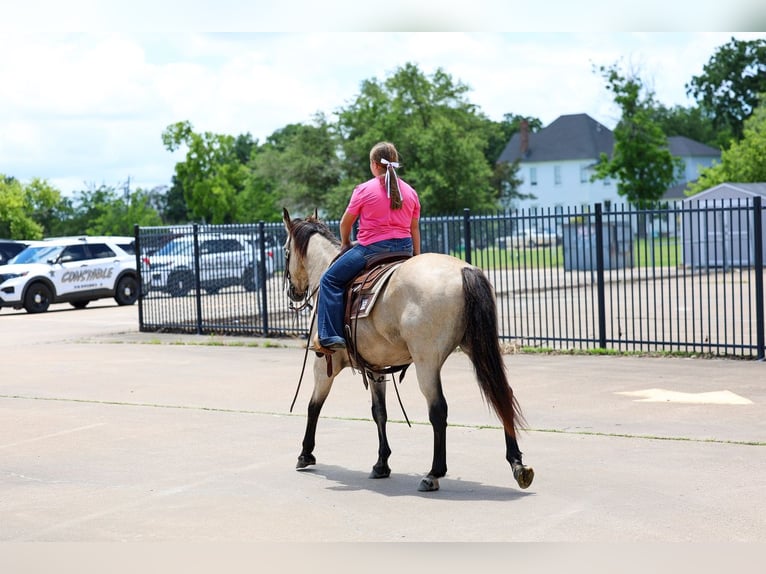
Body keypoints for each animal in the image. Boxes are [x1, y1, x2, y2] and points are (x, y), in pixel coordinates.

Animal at [282, 208, 534, 492]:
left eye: (285, 252)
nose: (293, 293)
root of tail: (464, 269)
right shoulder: (375, 367)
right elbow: (379, 412)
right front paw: (381, 464)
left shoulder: (325, 364)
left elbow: (314, 406)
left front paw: (305, 454)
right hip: (476, 347)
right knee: (502, 394)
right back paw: (517, 464)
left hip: (427, 362)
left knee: (438, 410)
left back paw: (434, 473)